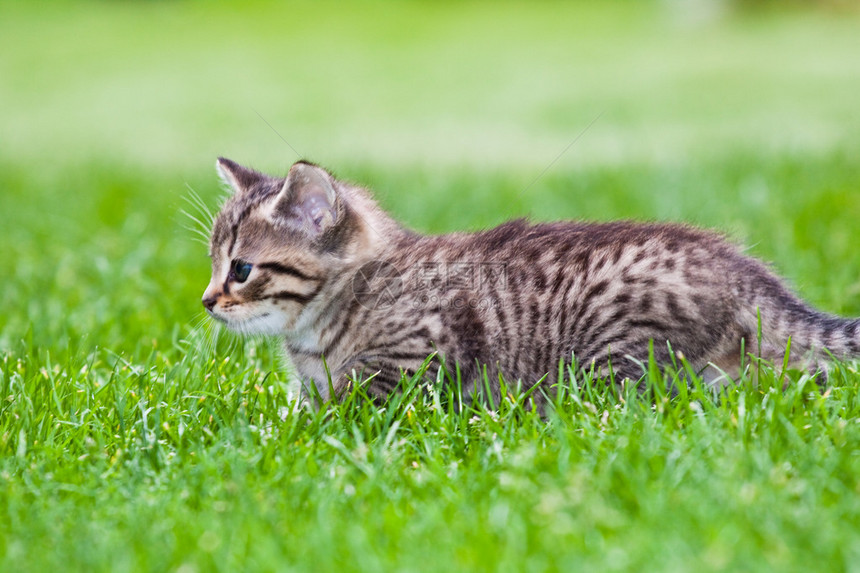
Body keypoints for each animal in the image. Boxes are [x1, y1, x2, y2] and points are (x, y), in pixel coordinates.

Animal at [203, 158, 860, 402]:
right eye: (214, 266)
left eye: (241, 269)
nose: (207, 300)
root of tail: (744, 270)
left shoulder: (417, 357)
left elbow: (354, 406)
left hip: (614, 349)